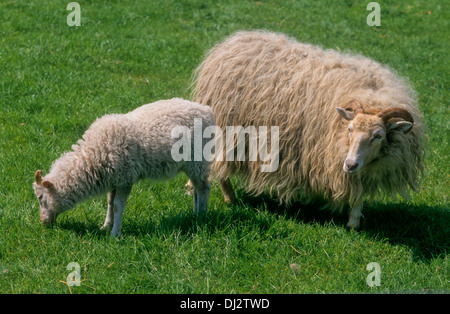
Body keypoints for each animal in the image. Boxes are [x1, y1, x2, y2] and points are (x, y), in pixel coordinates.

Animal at [33, 97, 214, 236]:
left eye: (41, 198)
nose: (43, 223)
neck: (92, 155)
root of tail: (207, 110)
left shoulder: (125, 179)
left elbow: (117, 206)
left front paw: (115, 233)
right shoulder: (114, 178)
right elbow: (109, 203)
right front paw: (105, 226)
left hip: (198, 160)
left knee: (204, 187)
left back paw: (202, 216)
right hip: (191, 164)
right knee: (197, 188)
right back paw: (195, 213)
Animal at [192, 30, 426, 229]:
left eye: (378, 136)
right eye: (350, 129)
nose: (350, 164)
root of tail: (233, 41)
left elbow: (358, 193)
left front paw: (354, 221)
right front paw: (352, 221)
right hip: (226, 131)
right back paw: (229, 198)